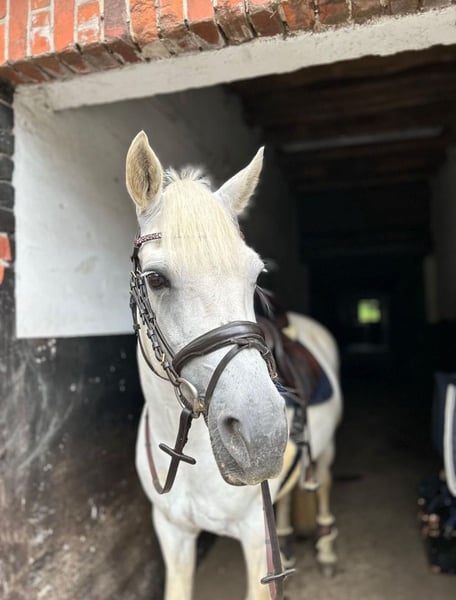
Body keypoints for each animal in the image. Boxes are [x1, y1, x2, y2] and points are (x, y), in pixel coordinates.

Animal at [126, 131, 343, 600]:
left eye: (256, 276)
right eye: (155, 279)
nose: (262, 434)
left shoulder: (253, 539)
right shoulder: (172, 533)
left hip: (327, 450)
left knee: (323, 483)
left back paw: (326, 549)